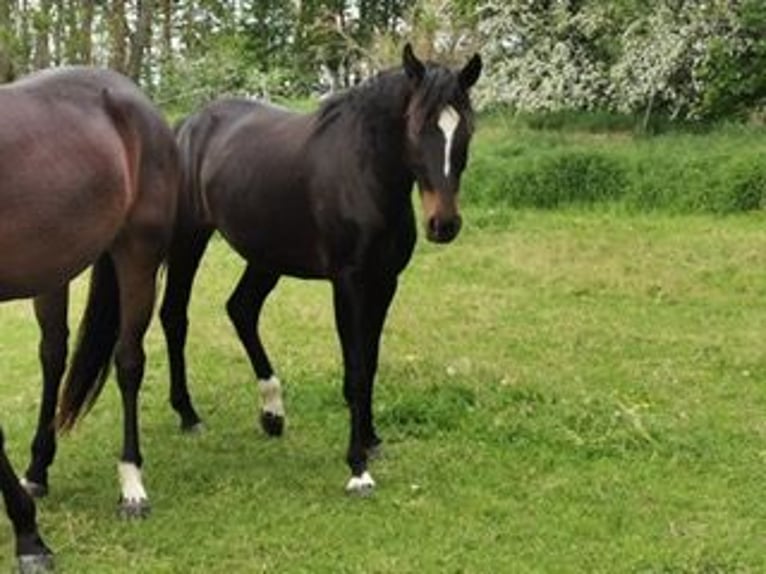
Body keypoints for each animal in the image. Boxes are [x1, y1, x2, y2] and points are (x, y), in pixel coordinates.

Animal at [0, 66, 178, 571]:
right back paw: (38, 469)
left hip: (137, 254)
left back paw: (132, 486)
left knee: (129, 361)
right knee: (54, 355)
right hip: (51, 271)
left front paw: (29, 538)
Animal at [159, 44, 481, 494]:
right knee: (175, 316)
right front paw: (358, 467)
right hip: (189, 241)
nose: (444, 224)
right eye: (417, 127)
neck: (365, 174)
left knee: (241, 309)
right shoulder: (348, 284)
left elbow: (371, 362)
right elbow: (357, 369)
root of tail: (187, 126)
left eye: (465, 130)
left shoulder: (385, 282)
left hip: (266, 256)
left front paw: (372, 440)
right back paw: (188, 414)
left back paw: (272, 414)